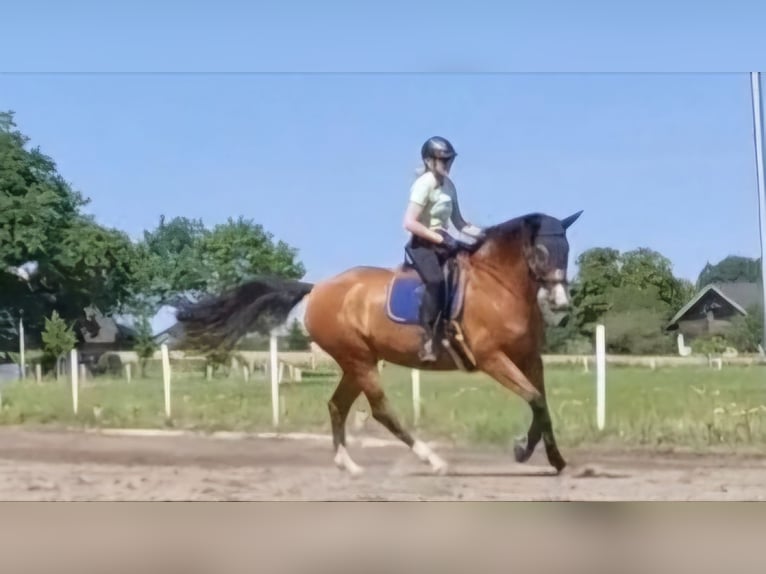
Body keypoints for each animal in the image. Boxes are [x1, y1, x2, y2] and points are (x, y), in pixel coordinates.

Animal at [176, 212, 584, 476]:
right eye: (542, 252)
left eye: (567, 251)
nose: (561, 304)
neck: (499, 287)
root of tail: (318, 288)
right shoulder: (491, 358)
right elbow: (534, 399)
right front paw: (525, 451)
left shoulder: (529, 358)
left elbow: (541, 403)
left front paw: (550, 458)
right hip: (359, 360)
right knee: (382, 411)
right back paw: (433, 461)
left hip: (356, 362)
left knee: (337, 405)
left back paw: (348, 464)